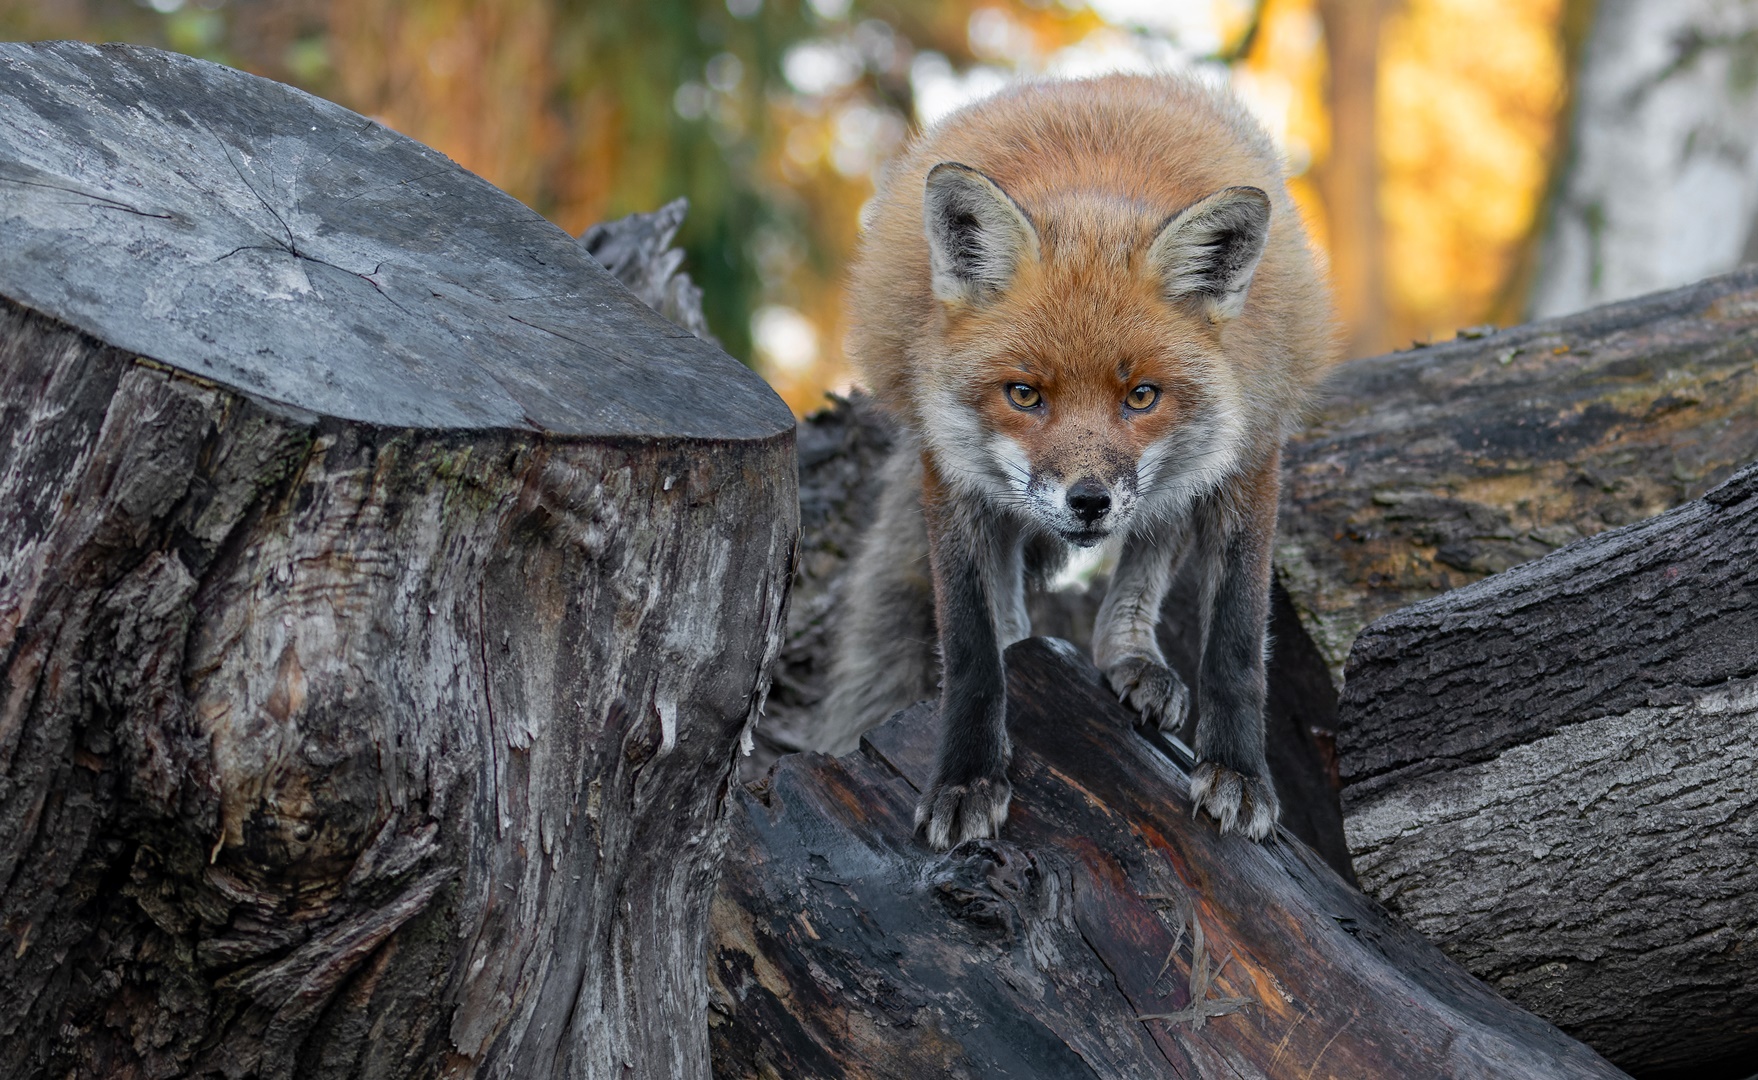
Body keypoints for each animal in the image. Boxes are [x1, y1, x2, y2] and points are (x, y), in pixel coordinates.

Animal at [819, 73, 1329, 854]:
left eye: (1141, 395)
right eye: (1024, 394)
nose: (1087, 502)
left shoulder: (1251, 451)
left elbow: (1237, 644)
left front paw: (1237, 770)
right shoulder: (951, 470)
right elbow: (971, 650)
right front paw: (968, 777)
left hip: (1183, 469)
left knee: (1151, 548)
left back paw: (1130, 657)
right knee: (1011, 615)